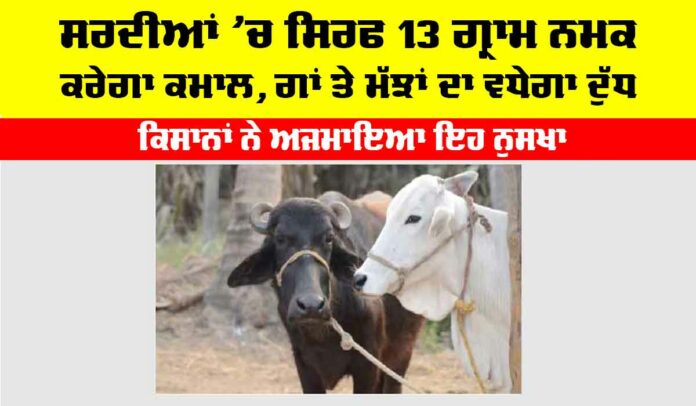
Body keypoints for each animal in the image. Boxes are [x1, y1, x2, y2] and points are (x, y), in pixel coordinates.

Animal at [227, 191, 424, 393]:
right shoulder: (305, 366)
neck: (322, 335)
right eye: (280, 239)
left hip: (402, 352)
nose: (311, 305)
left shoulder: (368, 366)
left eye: (328, 238)